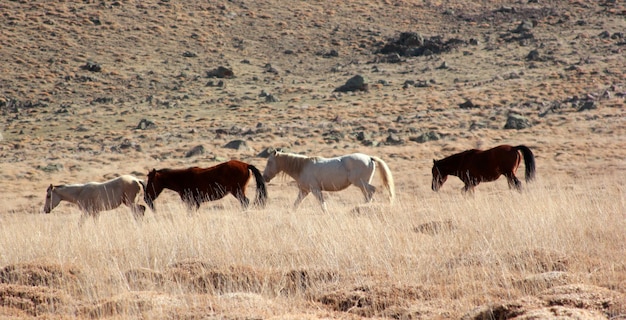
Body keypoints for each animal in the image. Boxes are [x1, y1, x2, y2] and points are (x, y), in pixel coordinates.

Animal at [260, 150, 392, 212]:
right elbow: (296, 204)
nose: (265, 177)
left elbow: (322, 204)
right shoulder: (304, 191)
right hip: (362, 184)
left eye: (269, 162)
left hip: (360, 183)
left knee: (371, 191)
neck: (302, 167)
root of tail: (369, 158)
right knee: (367, 194)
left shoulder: (315, 190)